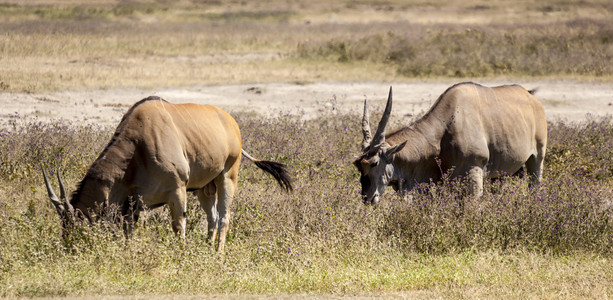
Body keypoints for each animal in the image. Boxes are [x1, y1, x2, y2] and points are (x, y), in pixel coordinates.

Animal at [43, 96, 292, 251]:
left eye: (77, 227)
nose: (70, 251)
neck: (138, 145)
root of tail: (231, 121)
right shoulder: (133, 204)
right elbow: (129, 233)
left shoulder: (177, 191)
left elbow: (178, 227)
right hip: (203, 188)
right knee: (212, 217)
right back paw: (207, 249)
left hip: (227, 177)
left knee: (224, 217)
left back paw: (218, 255)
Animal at [352, 82, 548, 204]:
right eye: (358, 165)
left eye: (374, 163)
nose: (366, 198)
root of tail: (531, 97)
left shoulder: (474, 177)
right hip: (499, 174)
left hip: (537, 158)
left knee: (535, 185)